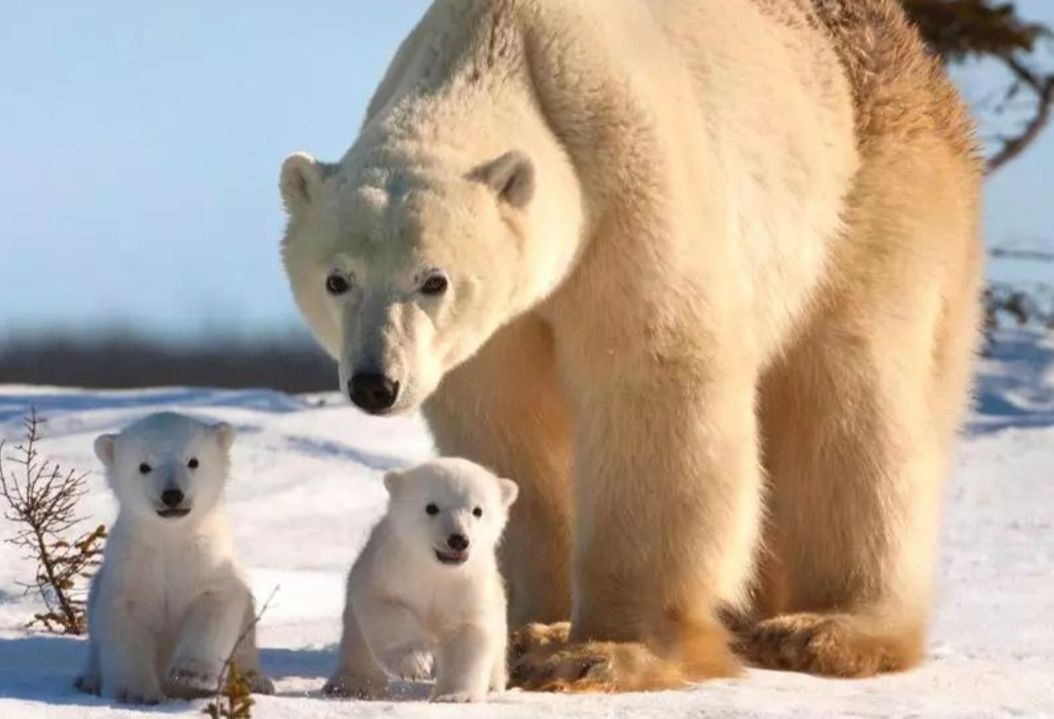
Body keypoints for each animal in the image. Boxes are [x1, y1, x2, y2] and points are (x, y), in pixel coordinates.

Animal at [79, 415, 276, 700]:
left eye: (192, 461)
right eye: (144, 466)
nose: (172, 495)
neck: (171, 537)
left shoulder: (209, 561)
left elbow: (214, 605)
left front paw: (191, 674)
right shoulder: (132, 567)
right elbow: (125, 621)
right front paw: (137, 693)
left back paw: (256, 681)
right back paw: (88, 680)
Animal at [322, 459, 516, 700]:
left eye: (477, 510)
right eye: (431, 507)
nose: (458, 539)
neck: (435, 569)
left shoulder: (469, 584)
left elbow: (468, 632)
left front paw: (455, 696)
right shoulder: (390, 569)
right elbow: (384, 608)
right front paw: (415, 664)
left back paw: (492, 686)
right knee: (358, 644)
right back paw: (354, 685)